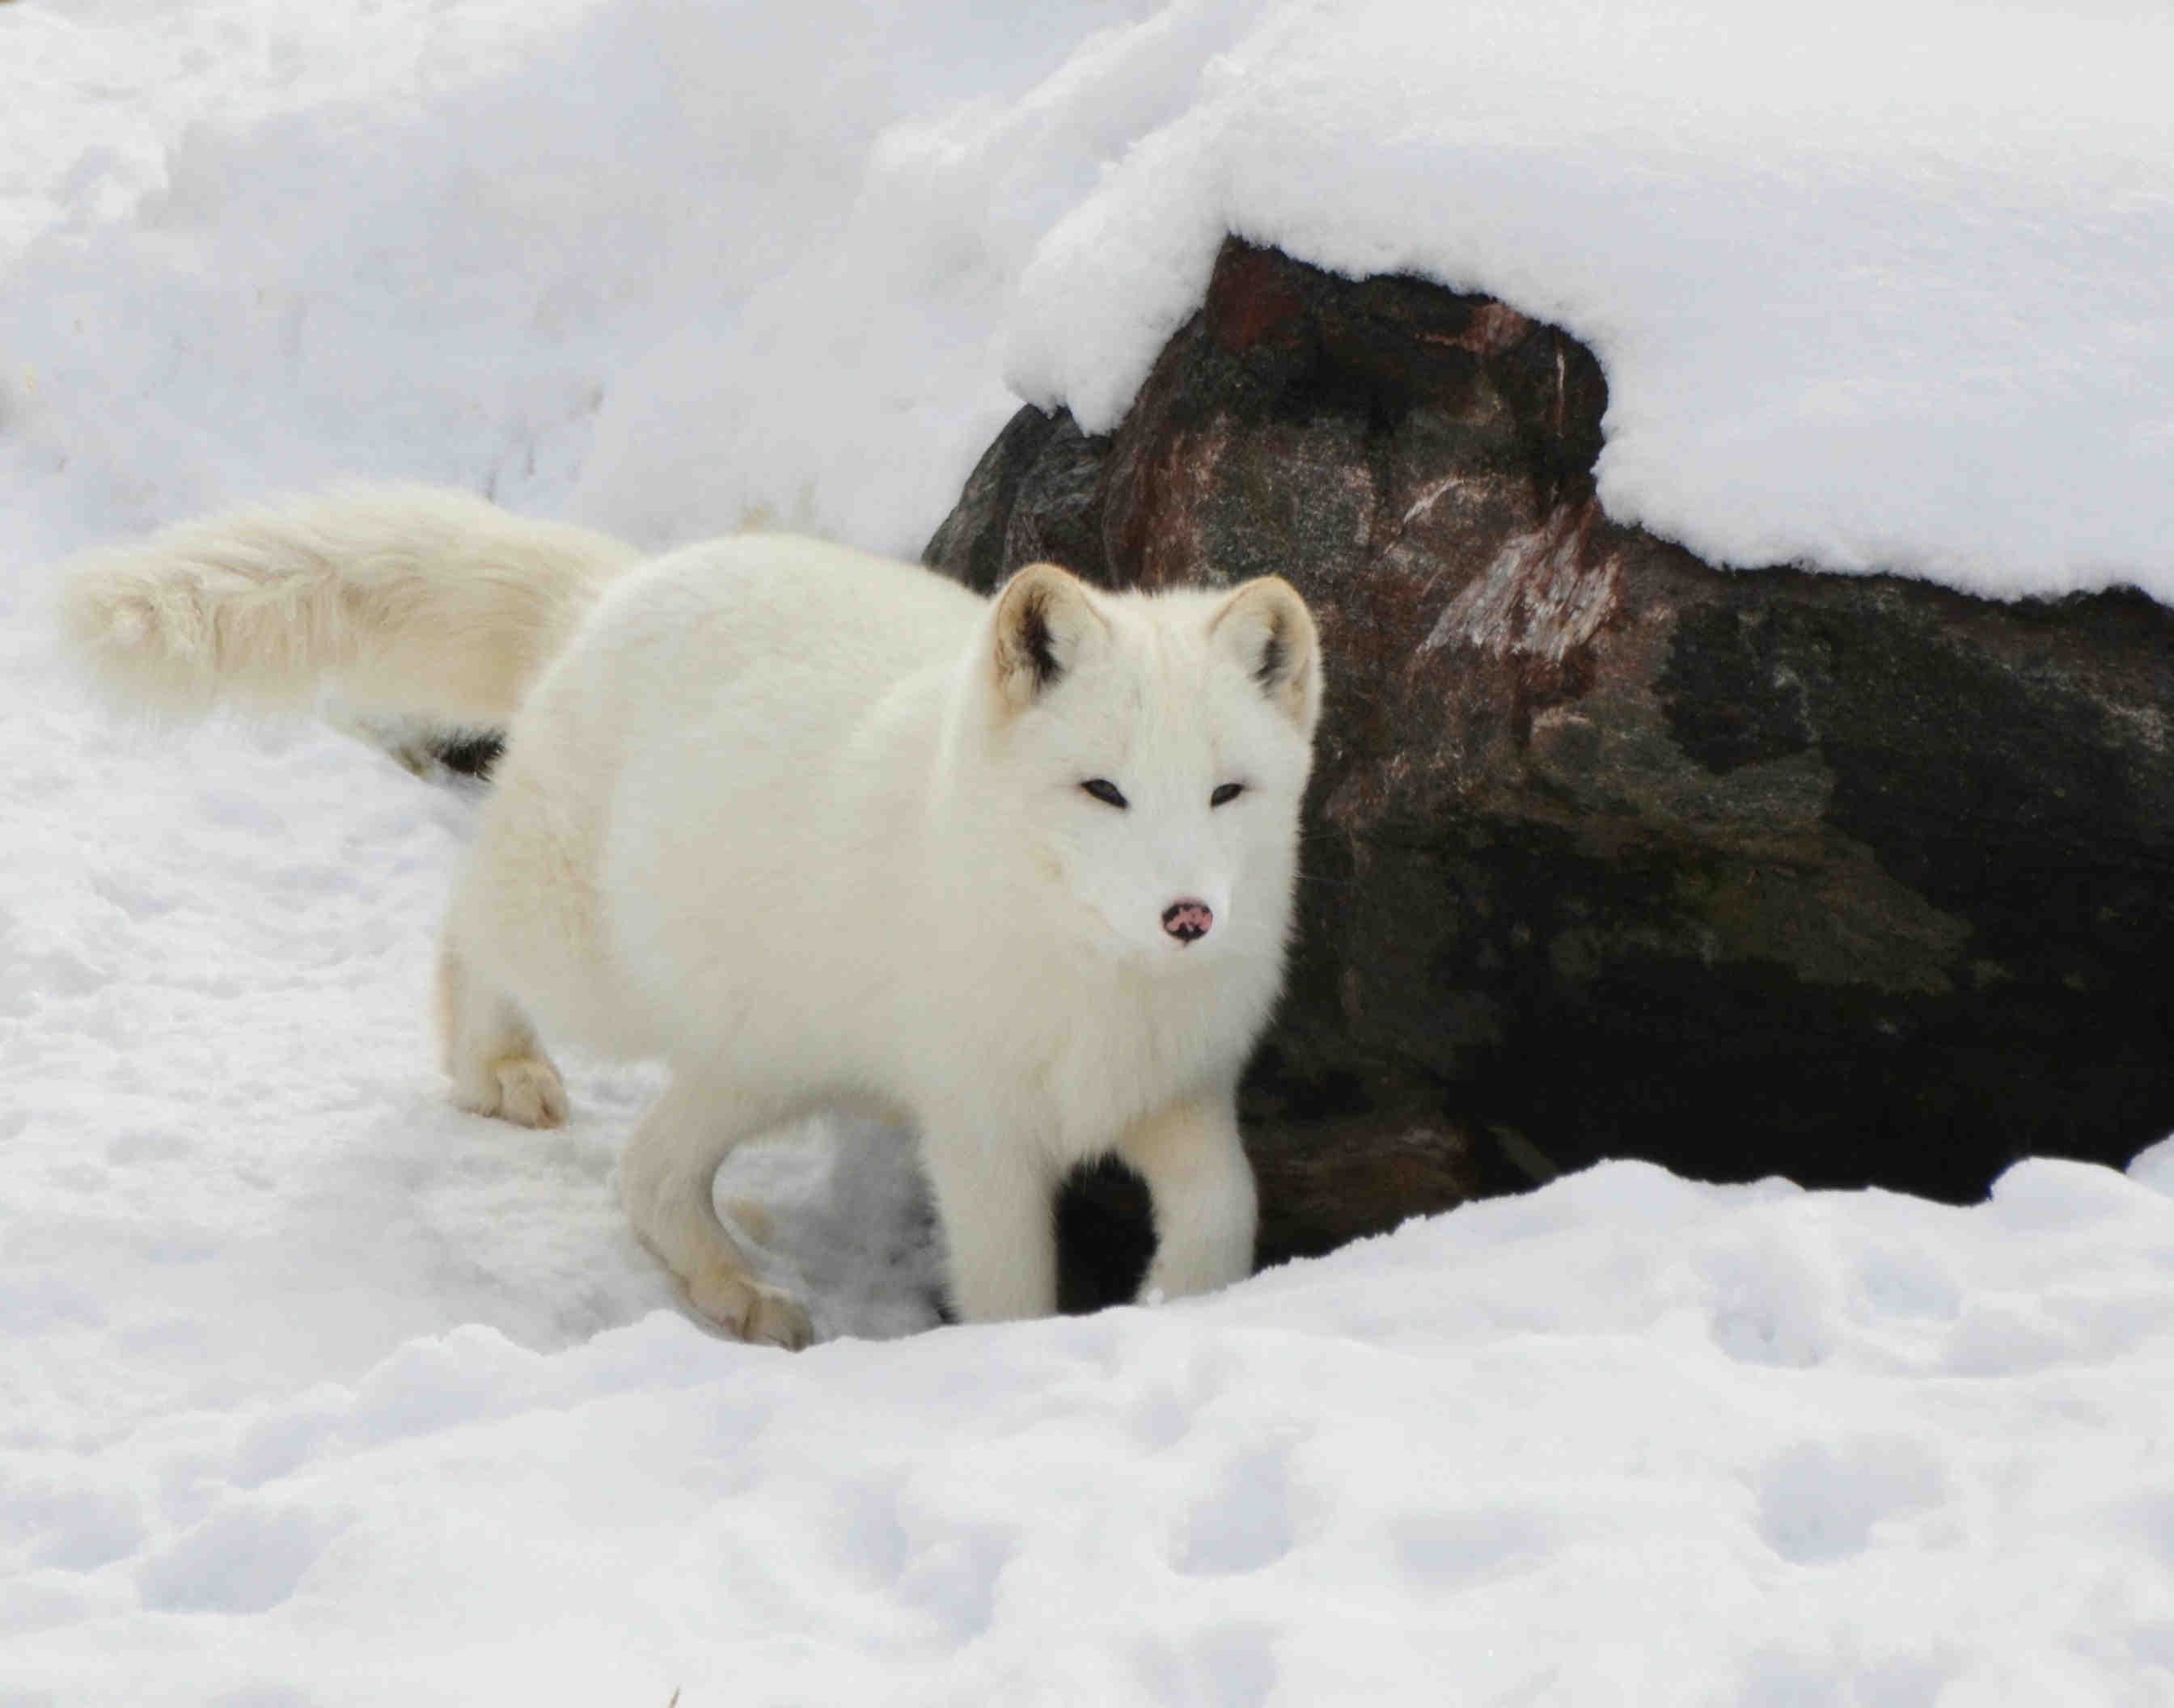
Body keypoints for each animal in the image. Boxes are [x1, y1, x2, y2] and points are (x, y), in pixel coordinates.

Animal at [60, 485, 1323, 1347]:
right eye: (1103, 790)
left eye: (1227, 792)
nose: (1189, 916)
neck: (1094, 984)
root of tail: (616, 591)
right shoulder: (979, 1131)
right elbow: (1009, 1289)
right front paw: (1018, 1359)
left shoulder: (1178, 1093)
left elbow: (1228, 1209)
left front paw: (1186, 1305)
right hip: (602, 976)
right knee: (470, 926)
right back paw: (496, 1066)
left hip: (766, 1056)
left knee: (648, 1172)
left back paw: (738, 1289)